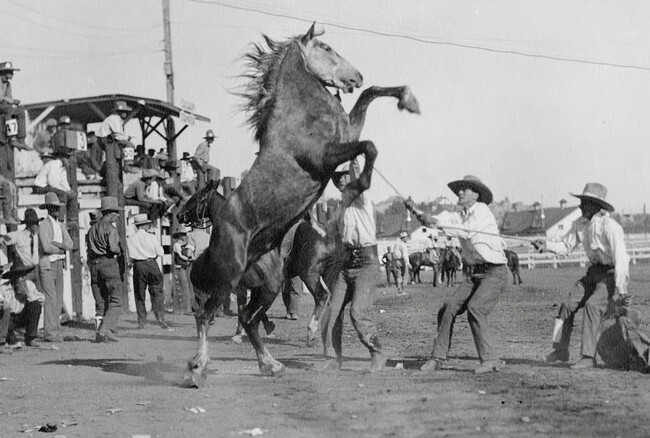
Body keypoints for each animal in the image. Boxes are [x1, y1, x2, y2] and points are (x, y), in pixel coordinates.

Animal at [178, 24, 420, 386]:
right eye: (326, 47)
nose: (356, 76)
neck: (302, 114)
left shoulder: (347, 132)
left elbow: (370, 98)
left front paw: (408, 99)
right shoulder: (325, 155)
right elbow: (370, 146)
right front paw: (357, 185)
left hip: (269, 283)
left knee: (249, 318)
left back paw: (271, 364)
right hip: (234, 277)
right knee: (206, 315)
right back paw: (198, 369)